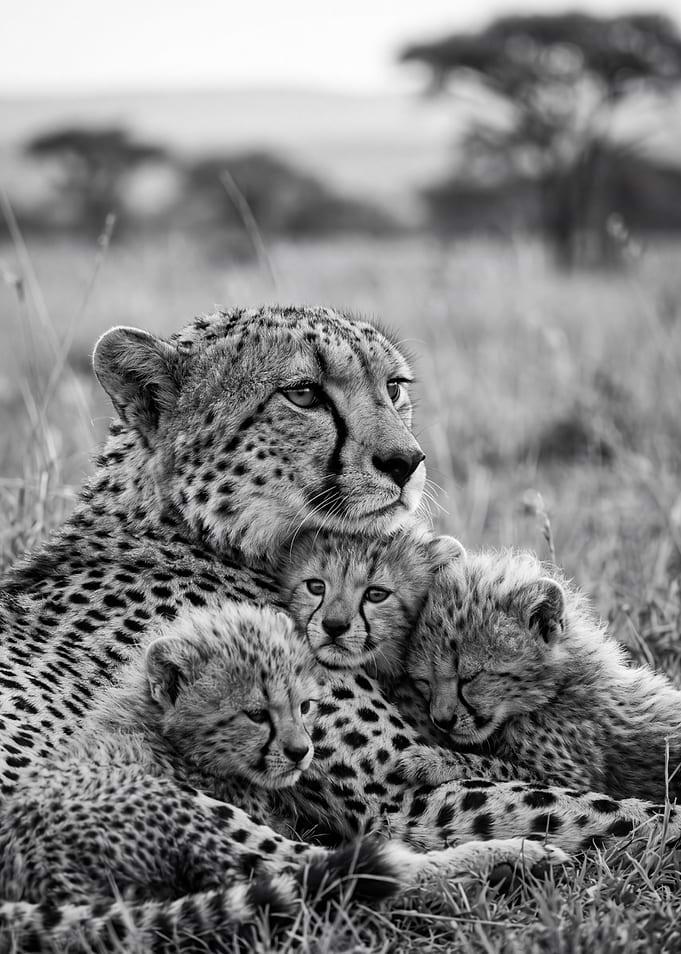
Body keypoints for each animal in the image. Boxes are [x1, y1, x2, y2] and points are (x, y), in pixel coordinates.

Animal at [0, 600, 567, 952]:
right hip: (202, 821)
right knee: (357, 871)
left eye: (305, 705)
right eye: (257, 714)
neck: (166, 737)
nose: (301, 752)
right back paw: (518, 857)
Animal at [405, 547, 681, 803]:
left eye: (470, 677)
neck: (556, 690)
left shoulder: (570, 780)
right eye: (425, 681)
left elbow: (492, 765)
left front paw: (432, 760)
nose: (442, 720)